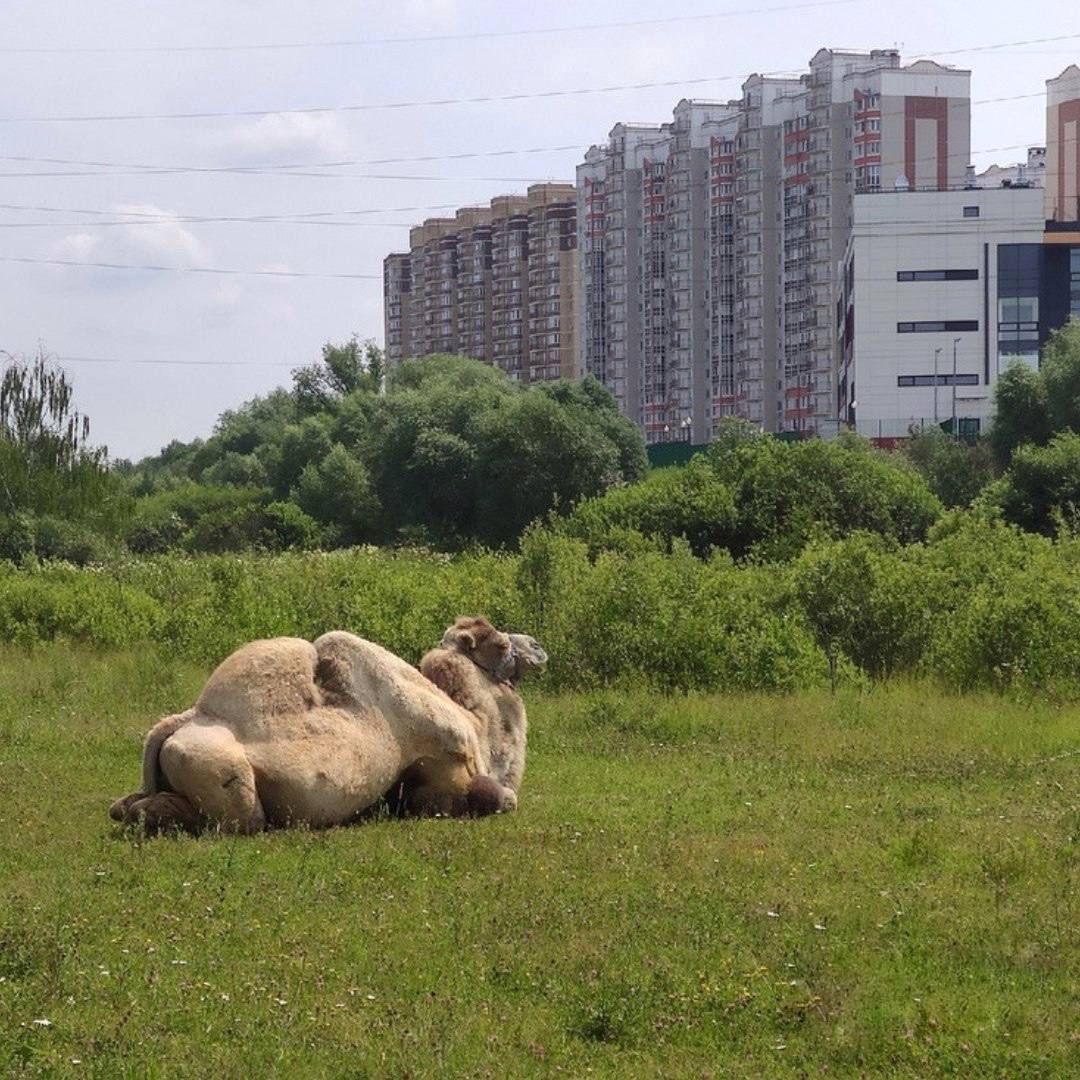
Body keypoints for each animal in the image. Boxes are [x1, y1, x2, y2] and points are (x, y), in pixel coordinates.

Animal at [109, 617, 544, 833]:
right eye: (500, 645)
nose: (539, 647)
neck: (475, 721)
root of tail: (184, 719)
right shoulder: (445, 768)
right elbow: (501, 798)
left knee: (125, 806)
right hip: (221, 776)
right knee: (242, 819)